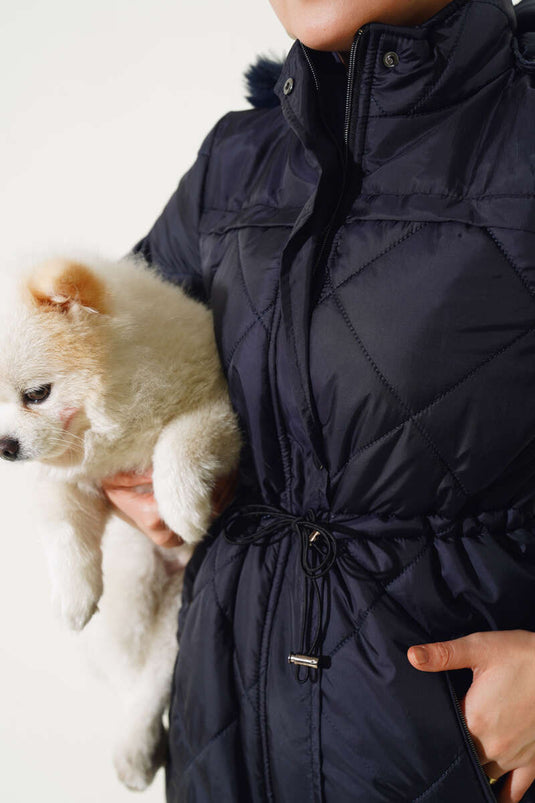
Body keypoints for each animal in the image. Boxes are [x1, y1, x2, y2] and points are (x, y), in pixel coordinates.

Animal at [0, 254, 241, 788]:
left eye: (37, 394)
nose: (4, 446)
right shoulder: (70, 480)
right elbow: (66, 534)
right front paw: (72, 596)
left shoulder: (220, 410)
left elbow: (180, 440)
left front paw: (184, 506)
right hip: (133, 591)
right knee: (139, 681)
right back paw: (134, 749)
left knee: (156, 677)